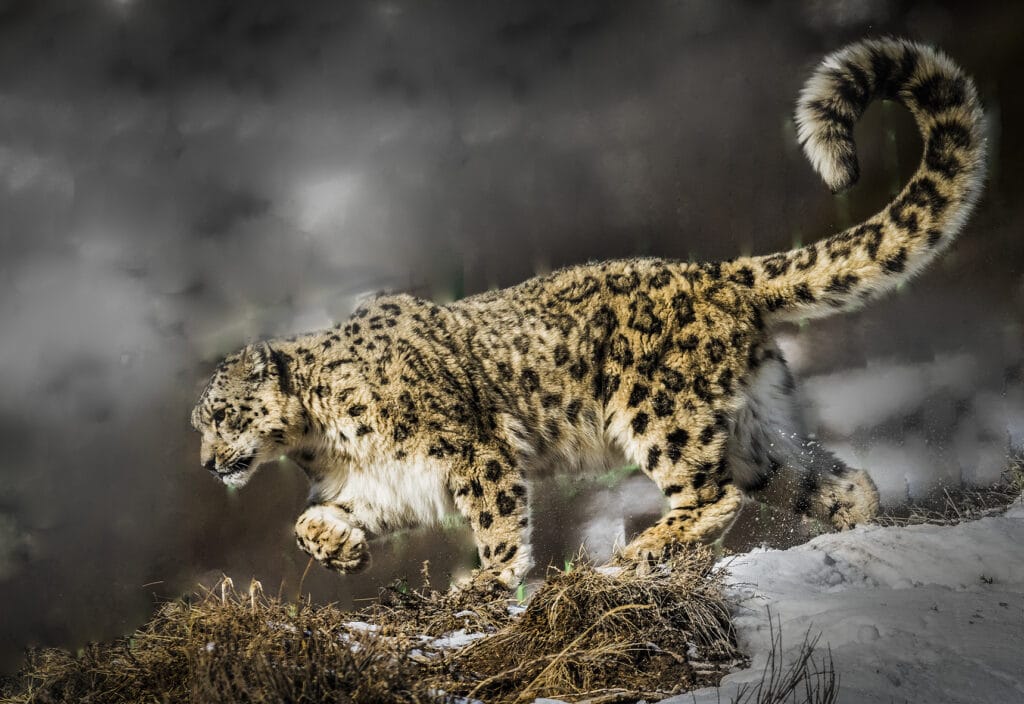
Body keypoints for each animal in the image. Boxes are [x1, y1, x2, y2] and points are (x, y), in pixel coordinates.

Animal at [190, 39, 983, 589]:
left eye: (221, 415)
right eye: (201, 422)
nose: (204, 464)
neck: (323, 441)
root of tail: (719, 274)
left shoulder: (470, 449)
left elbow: (497, 517)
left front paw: (488, 581)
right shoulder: (380, 485)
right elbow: (307, 519)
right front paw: (340, 548)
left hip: (660, 411)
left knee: (713, 494)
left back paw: (644, 550)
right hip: (756, 430)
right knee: (823, 478)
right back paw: (852, 525)